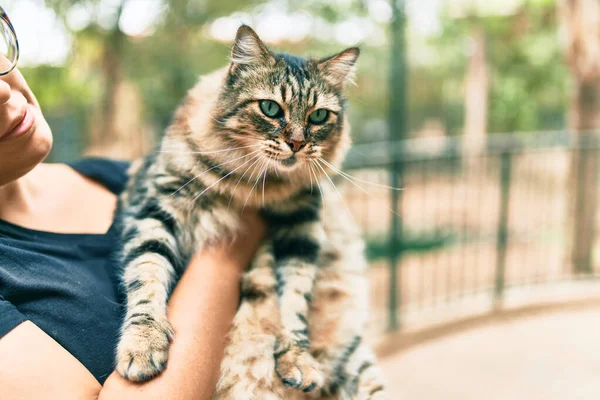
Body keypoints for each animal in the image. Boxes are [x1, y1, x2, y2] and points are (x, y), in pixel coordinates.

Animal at [116, 25, 390, 400]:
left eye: (319, 116)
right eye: (270, 108)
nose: (297, 143)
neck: (261, 186)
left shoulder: (300, 230)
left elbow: (294, 301)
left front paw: (297, 358)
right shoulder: (157, 209)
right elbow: (147, 274)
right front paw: (143, 344)